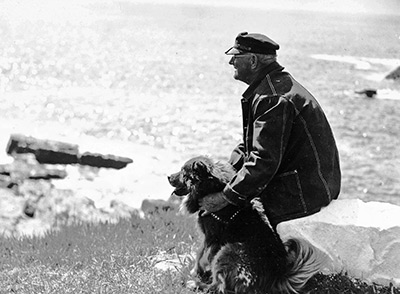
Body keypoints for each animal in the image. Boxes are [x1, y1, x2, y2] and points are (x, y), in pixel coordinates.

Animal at [168, 155, 322, 292]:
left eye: (183, 173)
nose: (168, 176)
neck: (210, 189)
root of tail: (276, 278)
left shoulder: (211, 237)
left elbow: (201, 256)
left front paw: (196, 273)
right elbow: (200, 254)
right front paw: (196, 272)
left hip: (227, 251)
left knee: (218, 287)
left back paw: (195, 284)